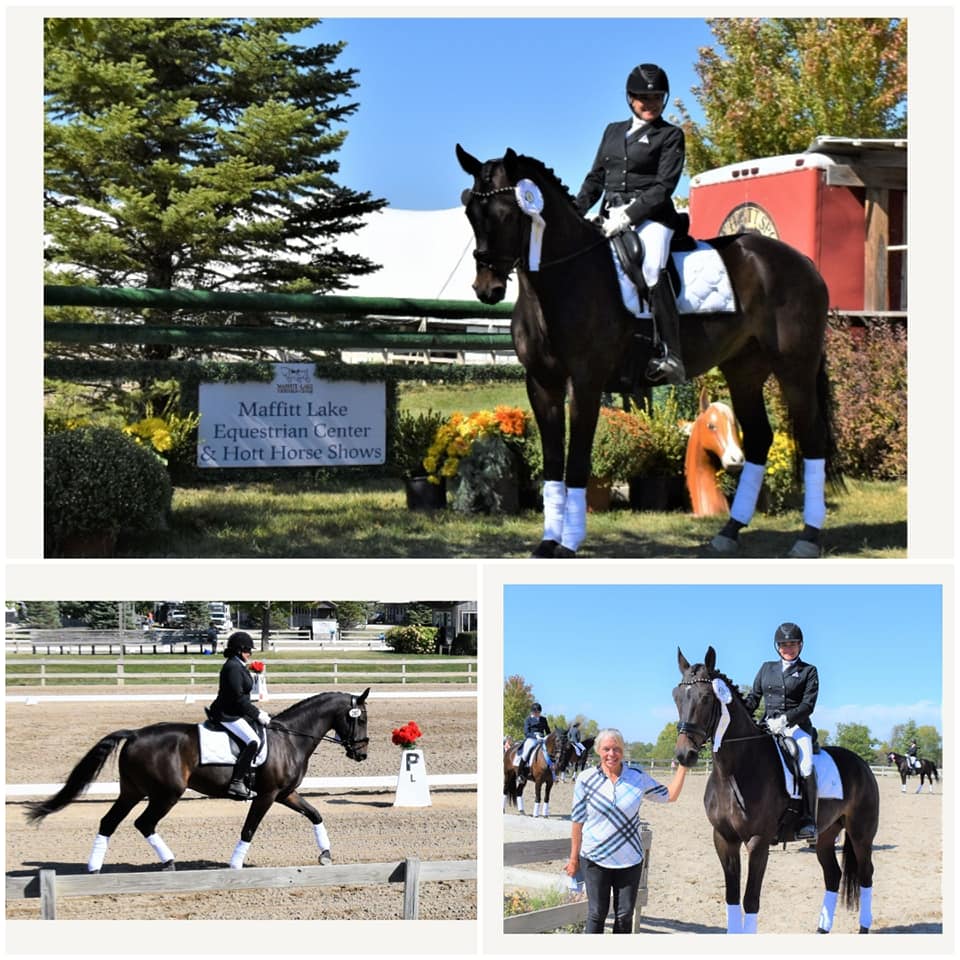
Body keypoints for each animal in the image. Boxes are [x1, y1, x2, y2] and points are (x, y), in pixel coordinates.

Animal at [26, 688, 372, 872]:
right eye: (362, 718)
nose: (362, 754)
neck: (290, 738)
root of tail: (135, 734)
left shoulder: (285, 793)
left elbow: (315, 814)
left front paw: (325, 854)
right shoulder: (267, 794)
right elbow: (249, 828)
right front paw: (235, 865)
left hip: (133, 790)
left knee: (109, 822)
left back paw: (94, 867)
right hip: (166, 793)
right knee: (144, 823)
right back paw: (167, 862)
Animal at [458, 146, 840, 560]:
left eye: (507, 213)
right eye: (470, 212)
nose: (487, 289)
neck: (562, 281)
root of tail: (802, 262)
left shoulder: (586, 383)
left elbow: (577, 462)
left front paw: (569, 544)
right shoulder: (542, 384)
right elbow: (552, 462)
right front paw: (547, 543)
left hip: (795, 368)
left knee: (813, 437)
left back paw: (807, 538)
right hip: (744, 370)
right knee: (758, 438)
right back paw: (728, 532)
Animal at [676, 648, 876, 932]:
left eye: (705, 698)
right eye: (676, 696)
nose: (684, 755)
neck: (734, 771)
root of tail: (861, 764)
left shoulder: (758, 841)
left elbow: (750, 901)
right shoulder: (724, 839)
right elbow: (731, 898)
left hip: (861, 833)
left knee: (866, 875)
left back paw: (863, 928)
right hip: (826, 834)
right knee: (833, 876)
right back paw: (822, 929)